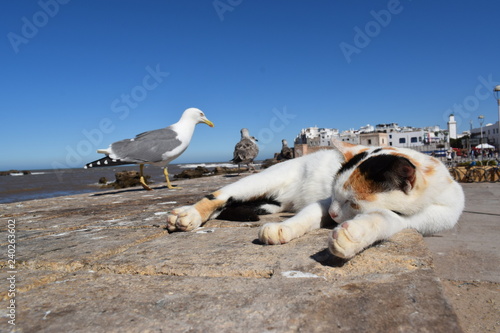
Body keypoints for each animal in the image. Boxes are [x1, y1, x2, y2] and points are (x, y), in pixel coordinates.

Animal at [165, 141, 464, 258]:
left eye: (354, 203)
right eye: (335, 195)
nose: (333, 216)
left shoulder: (421, 221)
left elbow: (385, 218)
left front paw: (352, 236)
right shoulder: (323, 202)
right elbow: (308, 214)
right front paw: (282, 229)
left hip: (271, 202)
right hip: (262, 180)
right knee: (220, 196)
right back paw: (187, 215)